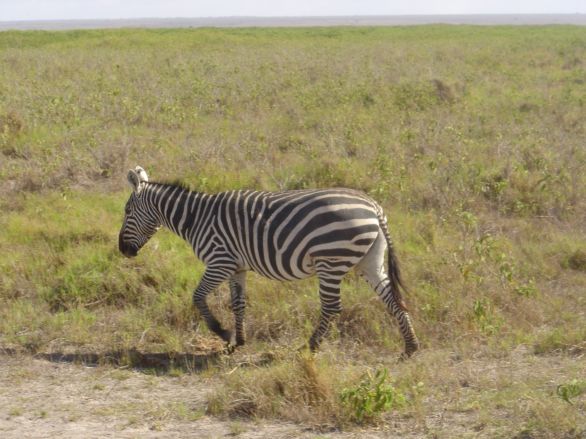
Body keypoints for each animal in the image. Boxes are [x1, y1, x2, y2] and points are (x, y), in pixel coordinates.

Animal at [118, 167, 418, 360]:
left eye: (127, 211)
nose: (123, 250)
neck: (196, 218)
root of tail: (374, 207)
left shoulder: (219, 261)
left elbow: (198, 297)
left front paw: (222, 332)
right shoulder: (236, 267)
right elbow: (238, 303)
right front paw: (238, 342)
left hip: (330, 260)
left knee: (332, 307)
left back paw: (309, 348)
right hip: (369, 260)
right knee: (393, 299)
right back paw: (410, 347)